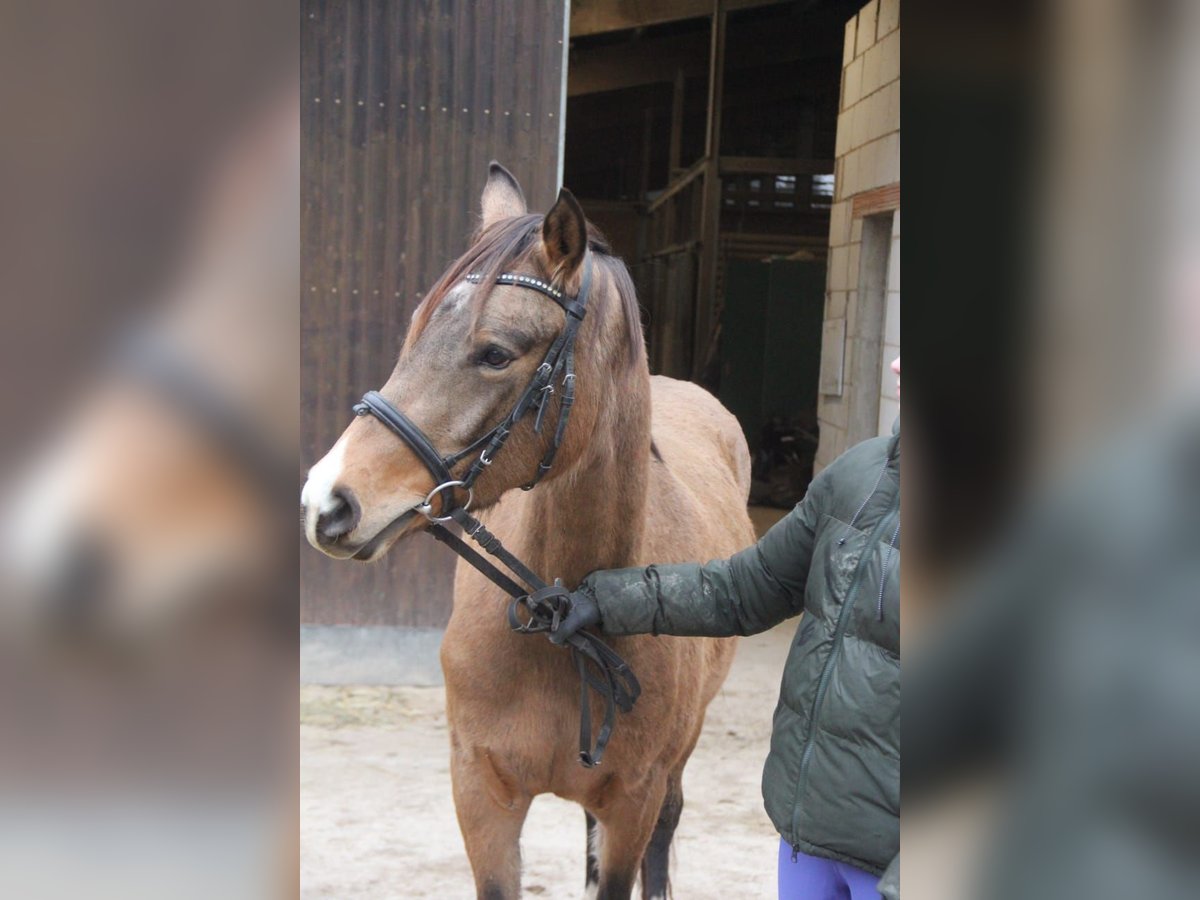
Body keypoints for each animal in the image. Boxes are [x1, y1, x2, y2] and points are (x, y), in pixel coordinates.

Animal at [302, 164, 748, 900]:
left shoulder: (634, 801)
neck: (562, 626)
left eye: (494, 353)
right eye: (414, 331)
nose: (326, 503)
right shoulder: (482, 795)